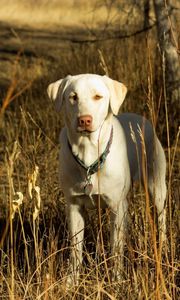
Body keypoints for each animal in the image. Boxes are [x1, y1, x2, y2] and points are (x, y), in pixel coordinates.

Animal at [47, 74, 167, 284]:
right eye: (73, 97)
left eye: (98, 96)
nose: (84, 120)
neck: (88, 156)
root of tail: (142, 119)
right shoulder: (73, 206)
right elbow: (75, 249)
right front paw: (71, 281)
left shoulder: (117, 207)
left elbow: (116, 250)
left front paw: (116, 280)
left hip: (157, 185)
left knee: (161, 216)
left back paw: (164, 246)